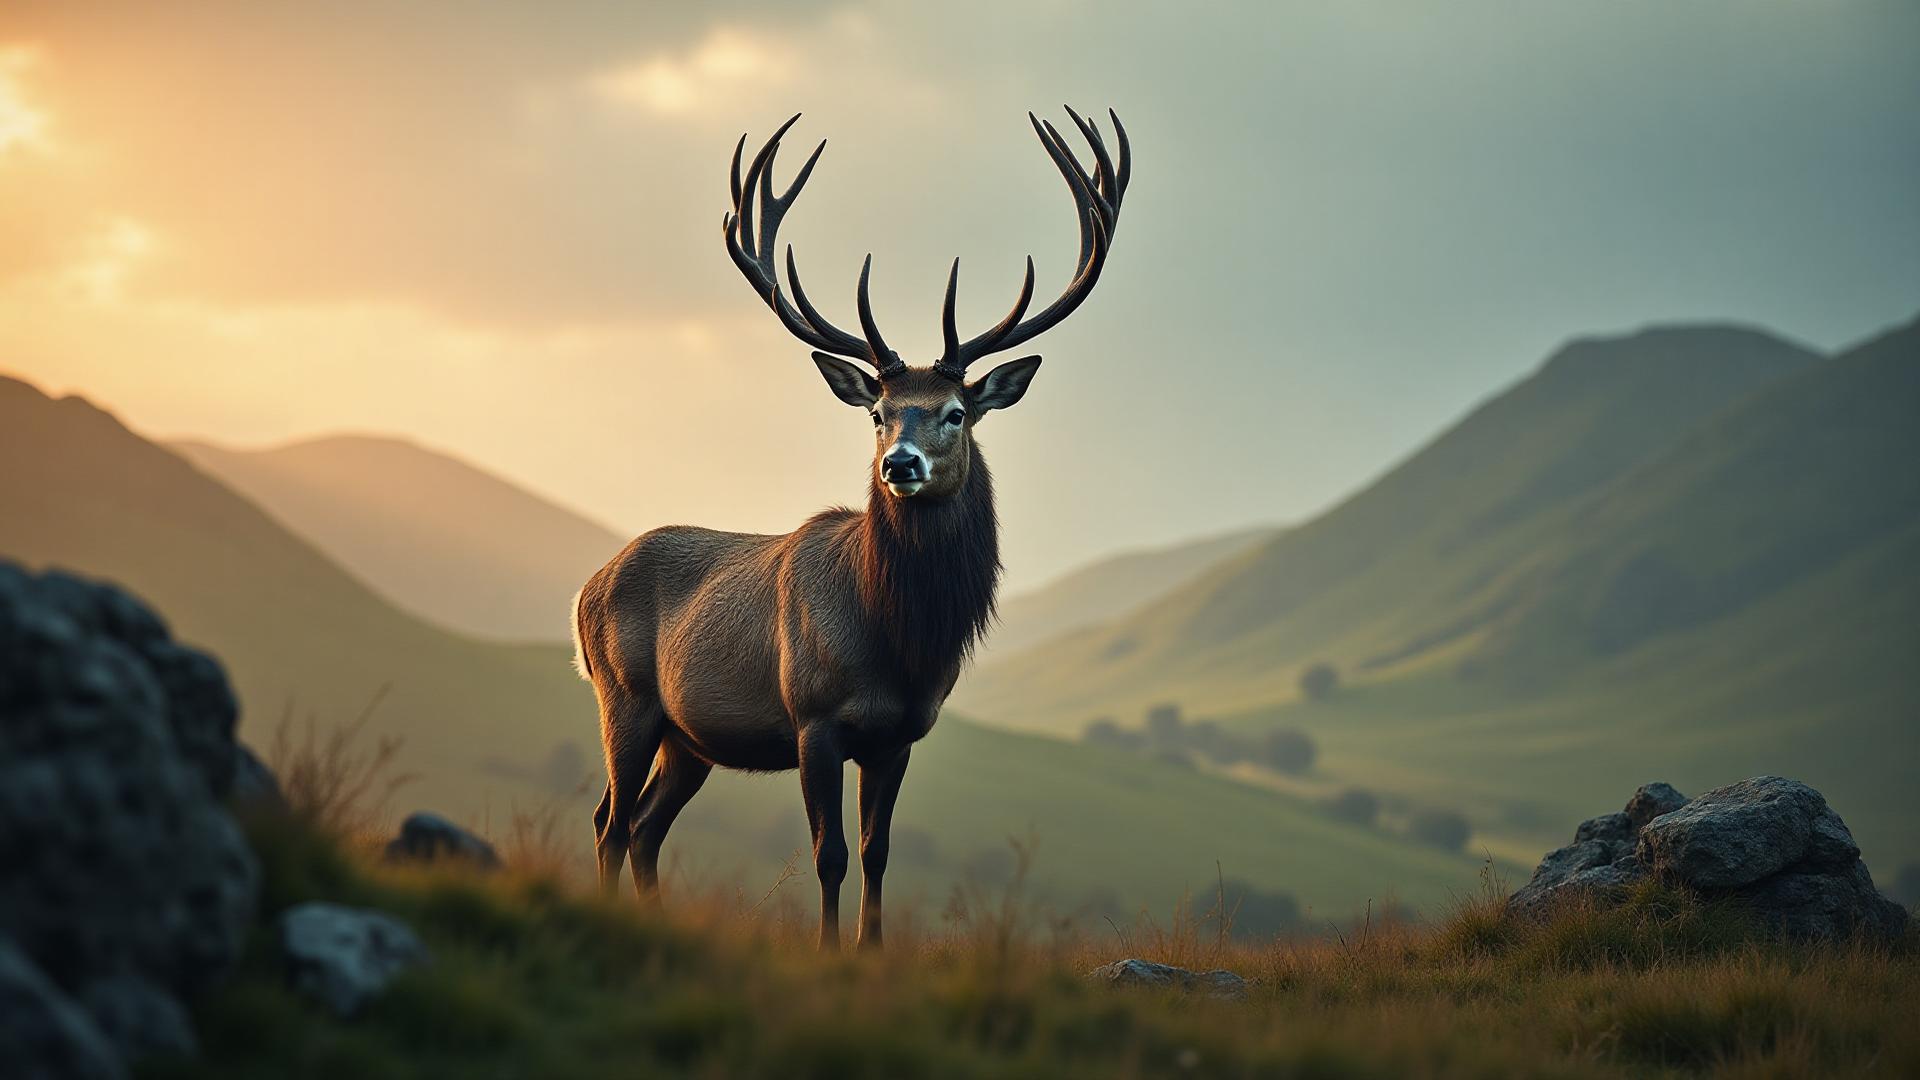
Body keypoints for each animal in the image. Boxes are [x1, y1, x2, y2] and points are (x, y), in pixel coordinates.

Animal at [571, 108, 1130, 950]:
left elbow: (876, 851)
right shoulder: (814, 718)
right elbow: (828, 852)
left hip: (690, 738)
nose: (899, 463)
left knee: (640, 826)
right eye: (878, 414)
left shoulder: (898, 736)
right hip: (626, 697)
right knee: (609, 821)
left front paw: (870, 950)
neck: (896, 640)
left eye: (955, 412)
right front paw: (828, 952)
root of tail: (586, 589)